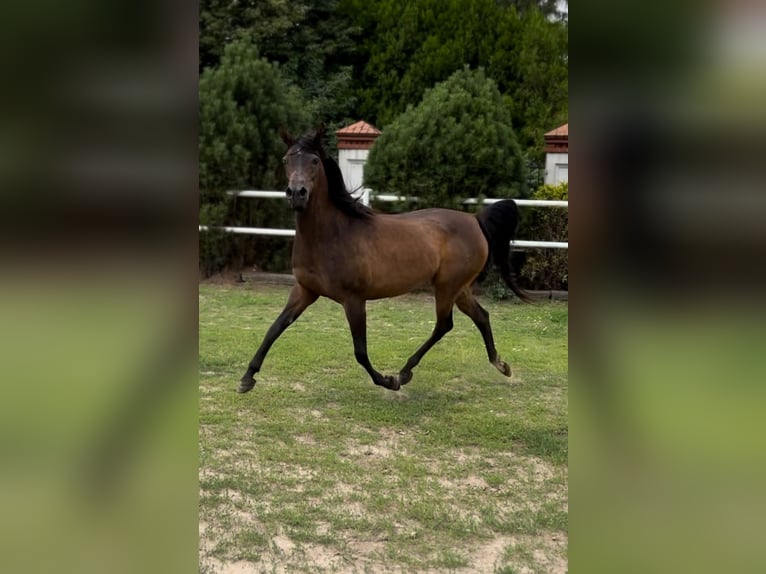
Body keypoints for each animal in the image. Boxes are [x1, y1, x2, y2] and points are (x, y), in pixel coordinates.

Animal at [237, 127, 532, 394]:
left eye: (314, 161)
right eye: (286, 159)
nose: (297, 193)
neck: (331, 235)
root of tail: (474, 219)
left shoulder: (354, 300)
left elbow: (360, 351)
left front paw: (388, 381)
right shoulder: (304, 290)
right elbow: (275, 328)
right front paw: (247, 378)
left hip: (447, 287)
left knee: (444, 325)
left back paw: (404, 372)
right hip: (459, 288)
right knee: (481, 316)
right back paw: (501, 365)